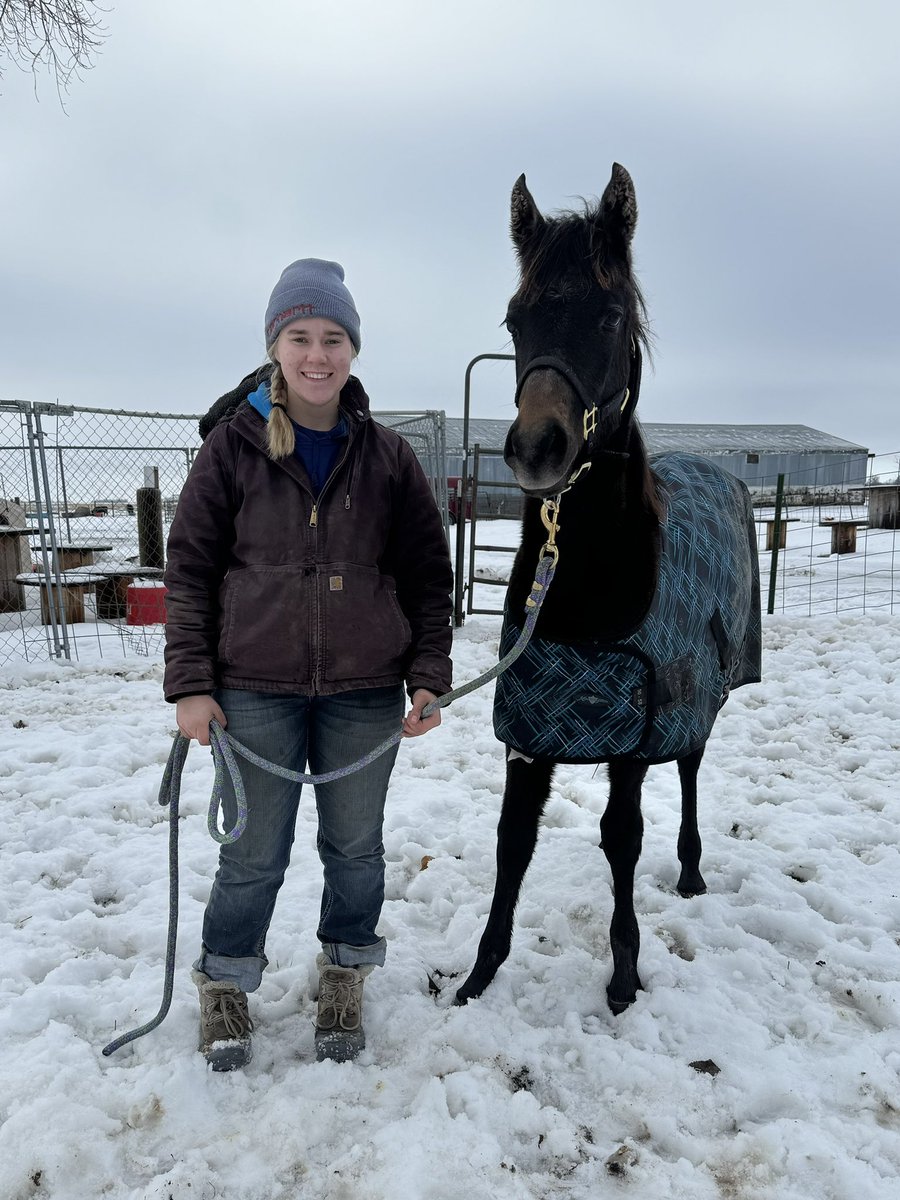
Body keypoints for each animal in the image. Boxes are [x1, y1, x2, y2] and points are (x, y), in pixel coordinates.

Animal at [455, 164, 761, 1015]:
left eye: (611, 313)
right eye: (516, 318)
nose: (537, 449)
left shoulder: (632, 730)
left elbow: (621, 838)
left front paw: (624, 976)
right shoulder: (530, 732)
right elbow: (513, 840)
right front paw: (478, 976)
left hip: (698, 697)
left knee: (689, 768)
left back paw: (690, 871)